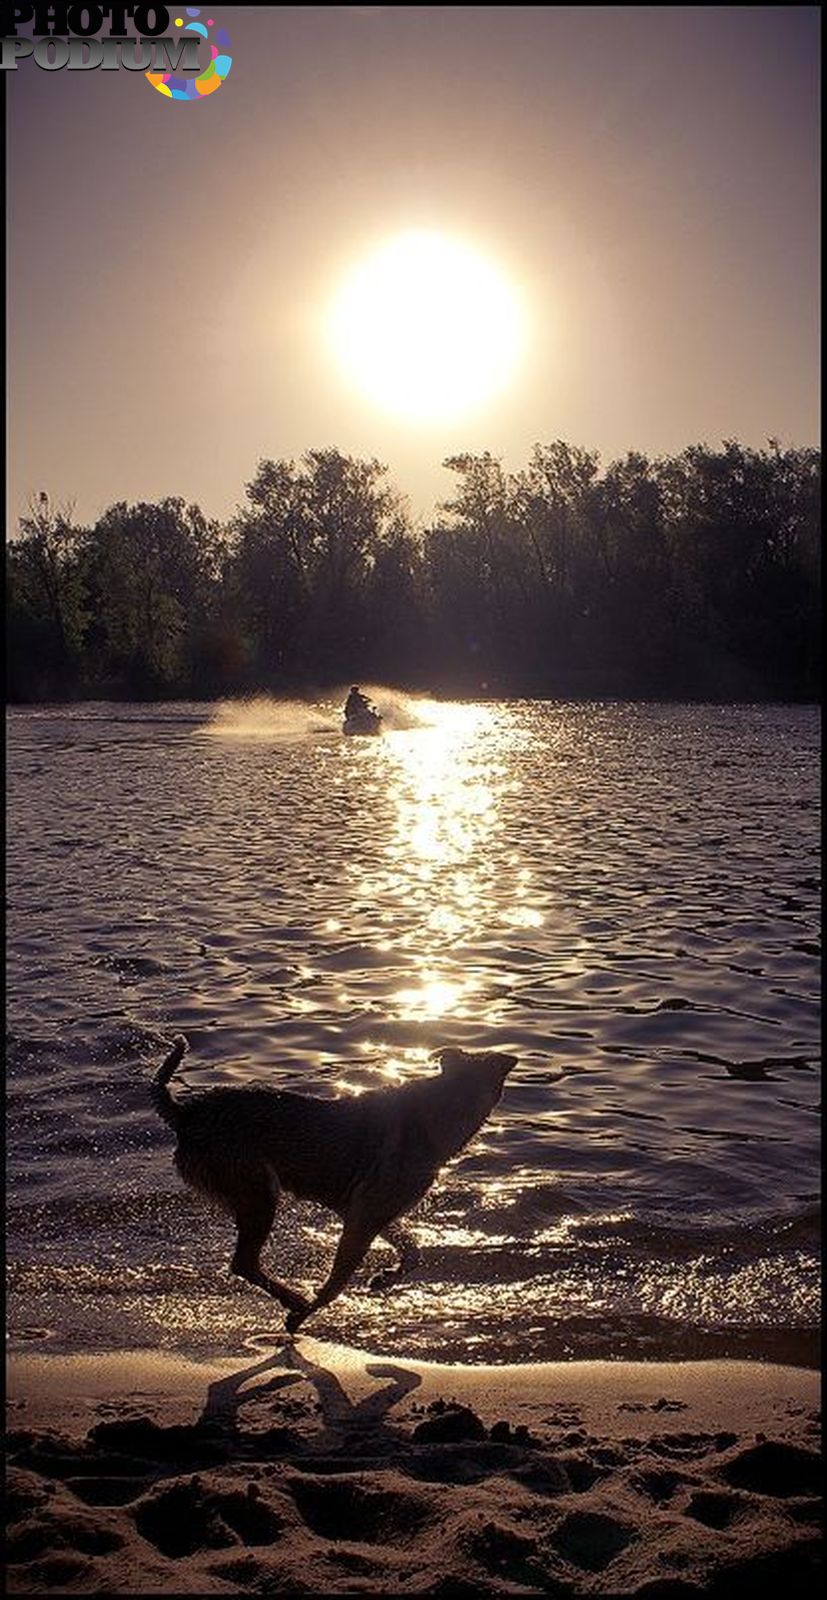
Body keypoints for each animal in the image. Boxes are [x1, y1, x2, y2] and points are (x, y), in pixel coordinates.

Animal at [151, 1030, 511, 1331]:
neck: (439, 1110)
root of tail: (184, 1114)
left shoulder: (375, 1213)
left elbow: (413, 1252)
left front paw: (384, 1278)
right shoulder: (364, 1217)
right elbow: (336, 1284)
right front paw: (301, 1316)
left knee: (245, 1263)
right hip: (259, 1193)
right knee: (244, 1262)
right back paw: (294, 1300)